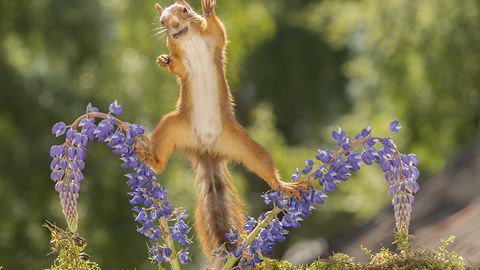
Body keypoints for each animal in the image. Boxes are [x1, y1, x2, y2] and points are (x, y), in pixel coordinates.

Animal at [137, 0, 312, 266]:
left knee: (263, 163)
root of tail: (207, 149)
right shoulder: (182, 61)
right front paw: (164, 60)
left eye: (184, 10)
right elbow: (179, 68)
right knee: (161, 158)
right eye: (161, 22)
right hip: (171, 127)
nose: (174, 25)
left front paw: (208, 10)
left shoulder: (214, 41)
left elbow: (219, 31)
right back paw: (153, 160)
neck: (190, 39)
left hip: (241, 141)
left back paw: (283, 185)